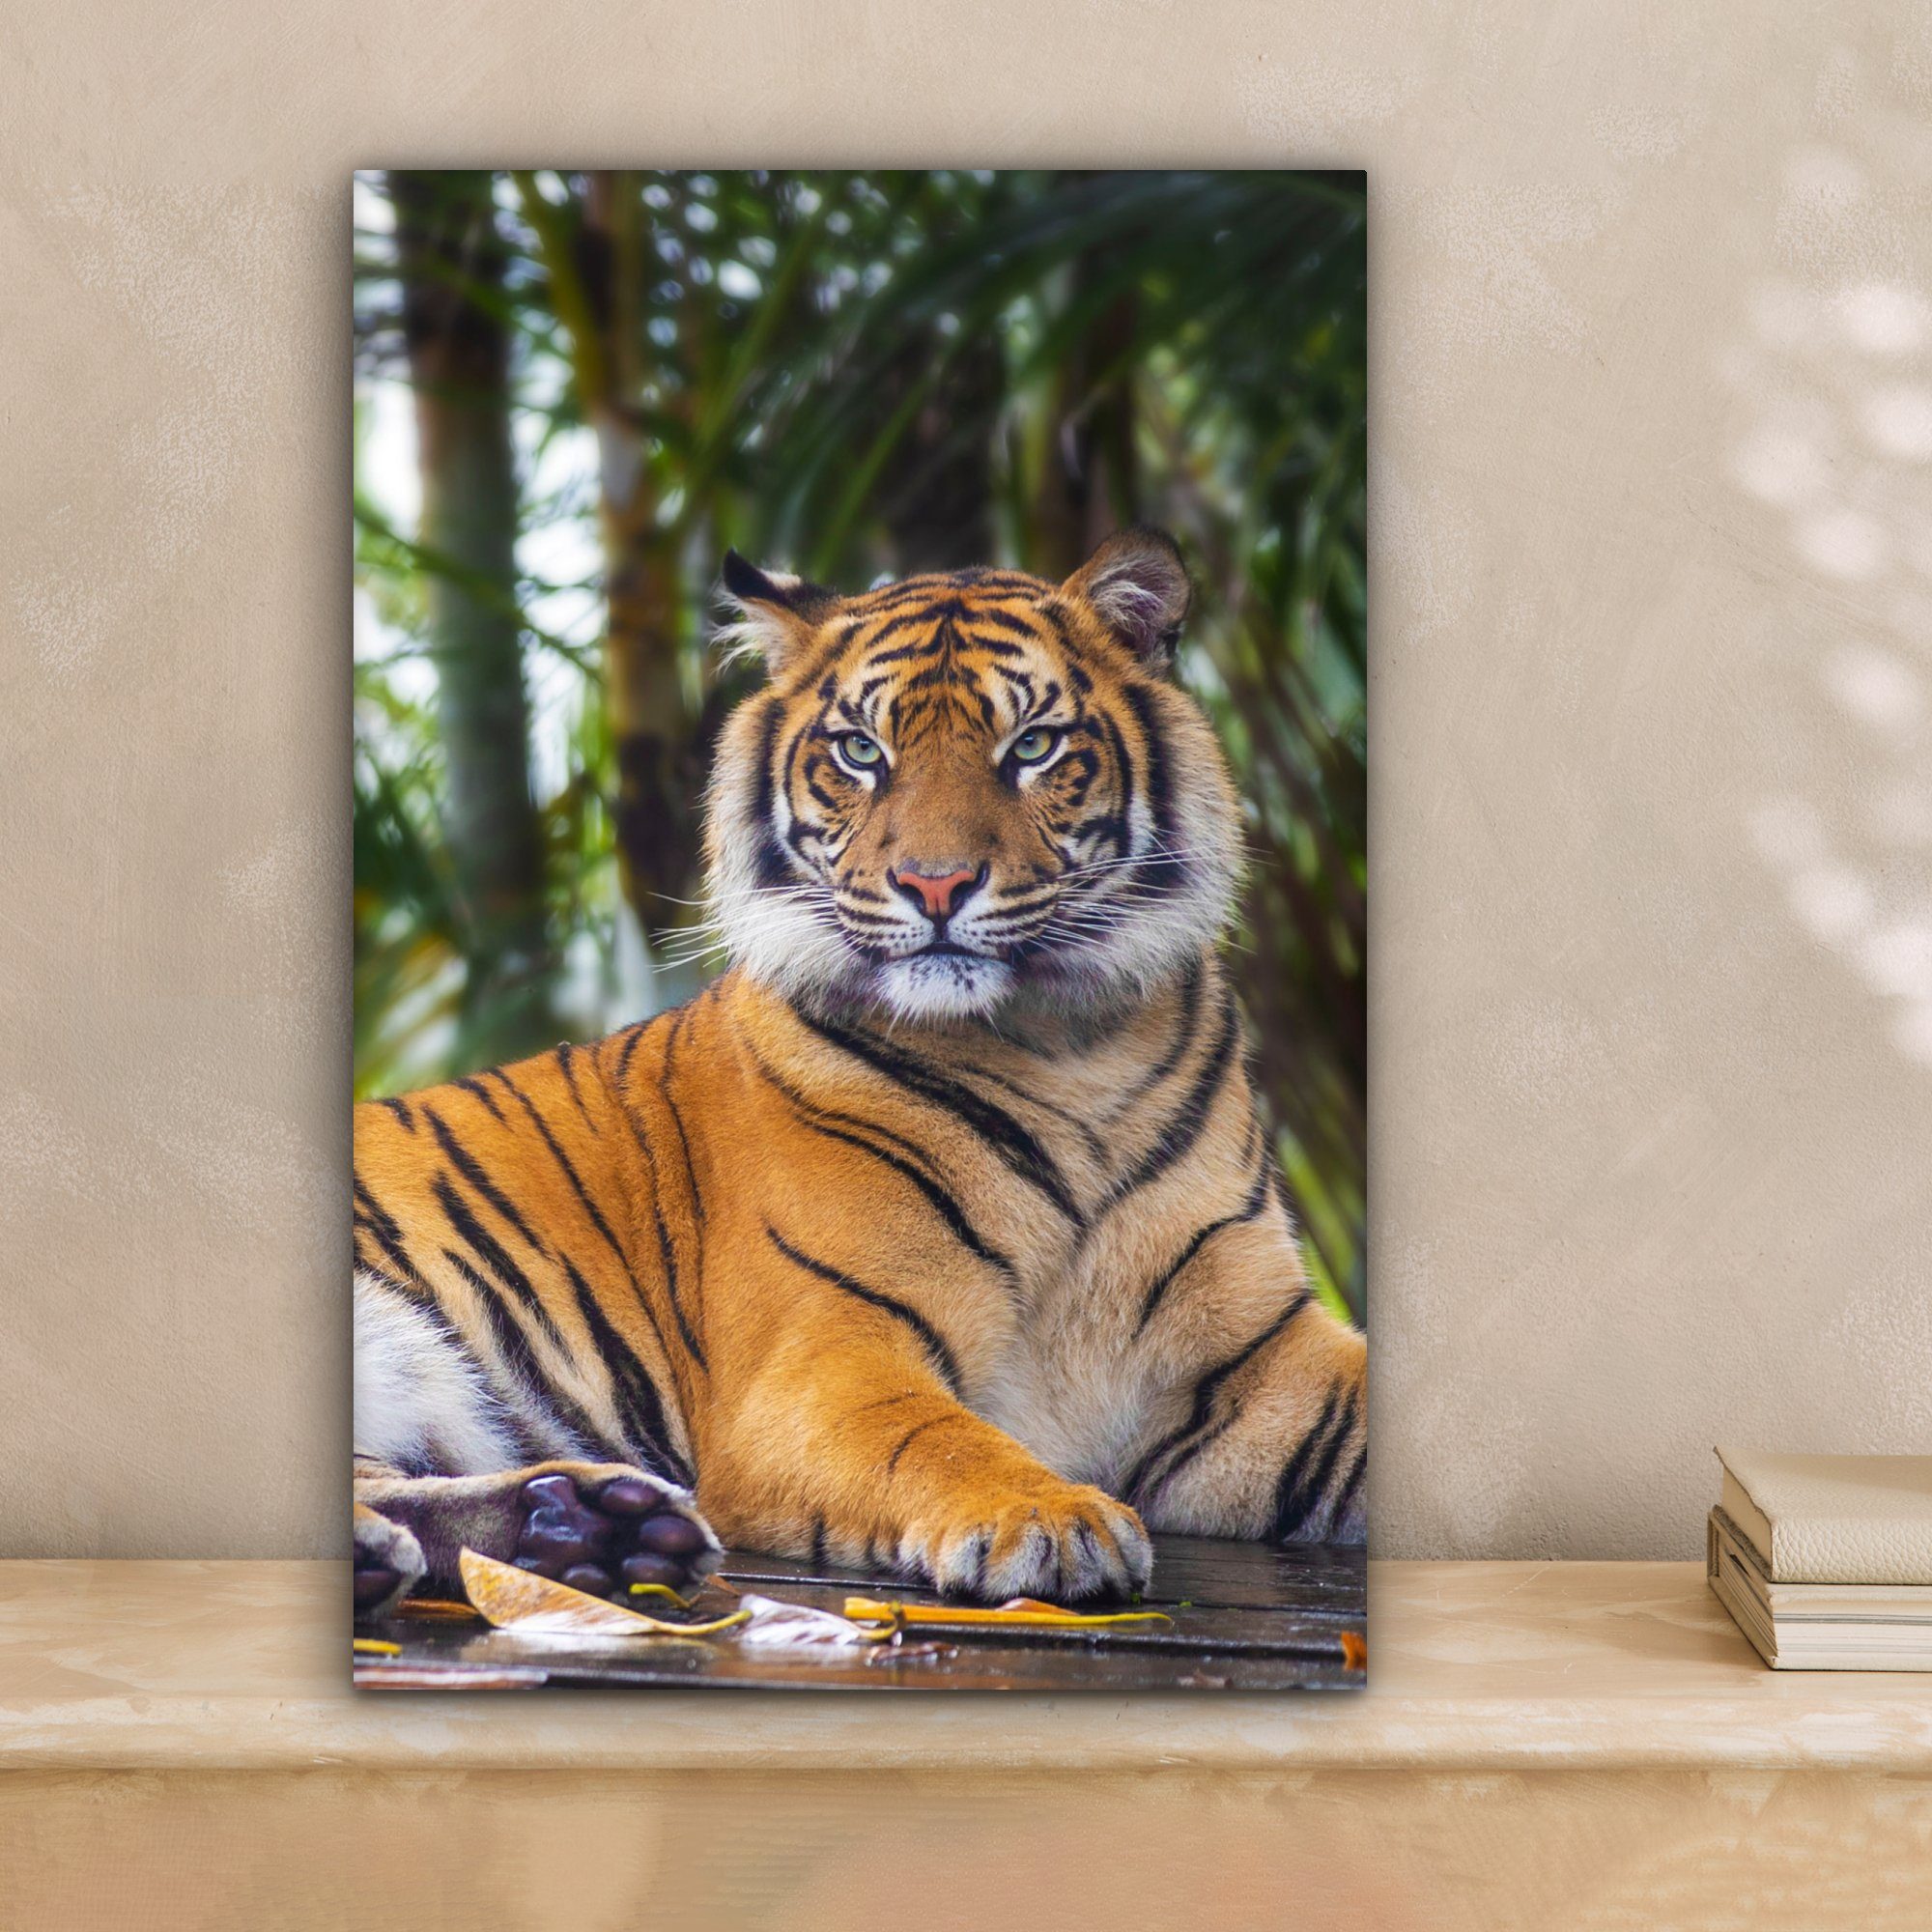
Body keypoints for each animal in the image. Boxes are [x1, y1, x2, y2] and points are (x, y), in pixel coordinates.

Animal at [351, 527, 1367, 1617]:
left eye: (1031, 747)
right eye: (861, 752)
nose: (934, 883)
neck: (1067, 1049)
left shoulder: (1260, 1354)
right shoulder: (826, 1352)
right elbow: (935, 1436)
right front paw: (1050, 1517)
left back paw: (591, 1529)